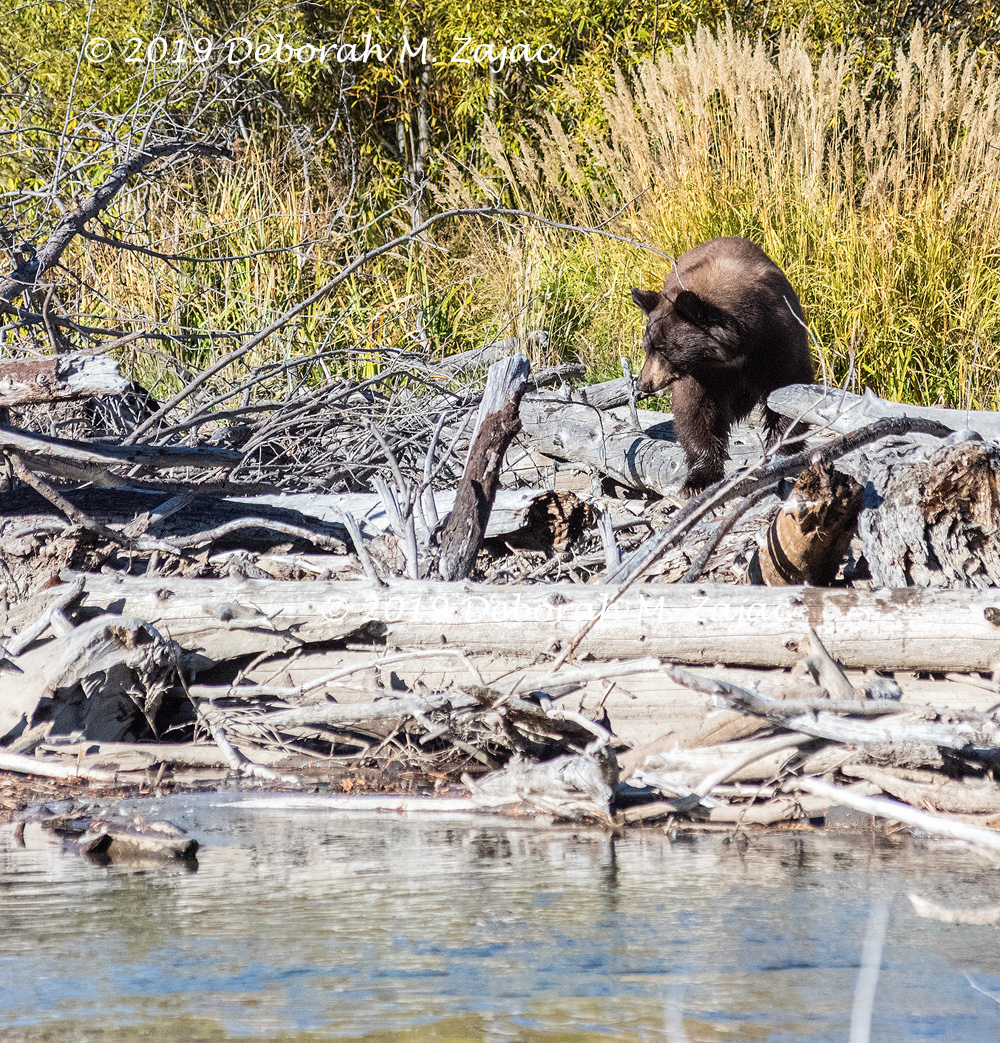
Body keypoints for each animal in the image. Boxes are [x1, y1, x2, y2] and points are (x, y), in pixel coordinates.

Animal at [631, 236, 814, 498]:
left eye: (664, 350)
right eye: (648, 347)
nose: (643, 383)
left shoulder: (778, 337)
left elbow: (789, 390)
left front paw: (780, 452)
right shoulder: (703, 372)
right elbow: (696, 410)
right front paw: (698, 480)